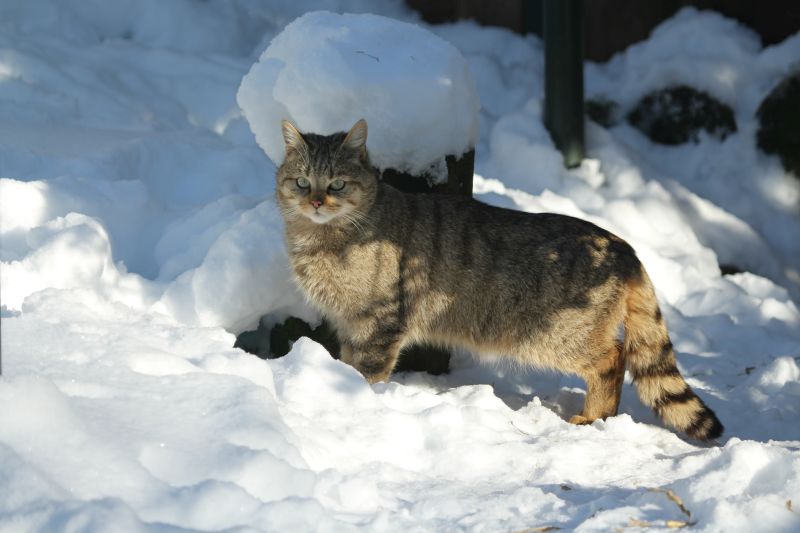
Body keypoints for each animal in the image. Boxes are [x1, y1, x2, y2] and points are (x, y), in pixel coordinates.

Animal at [276, 118, 724, 438]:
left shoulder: (379, 324)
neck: (322, 239)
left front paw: (361, 404)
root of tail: (624, 246)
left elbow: (367, 374)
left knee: (612, 359)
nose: (316, 201)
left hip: (557, 334)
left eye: (337, 183)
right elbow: (347, 366)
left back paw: (592, 418)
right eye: (301, 181)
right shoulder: (349, 326)